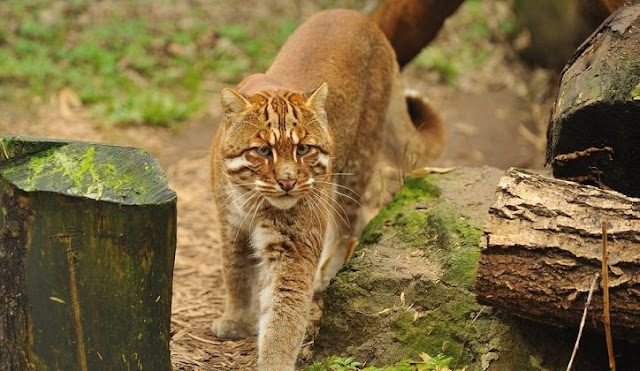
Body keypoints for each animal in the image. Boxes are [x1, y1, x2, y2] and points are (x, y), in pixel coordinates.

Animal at [210, 7, 440, 370]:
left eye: (303, 149)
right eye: (263, 151)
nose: (288, 182)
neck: (252, 200)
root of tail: (360, 17)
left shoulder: (292, 247)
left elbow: (283, 316)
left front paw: (273, 360)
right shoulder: (229, 223)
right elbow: (235, 272)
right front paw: (236, 319)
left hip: (356, 164)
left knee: (349, 225)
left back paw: (327, 273)